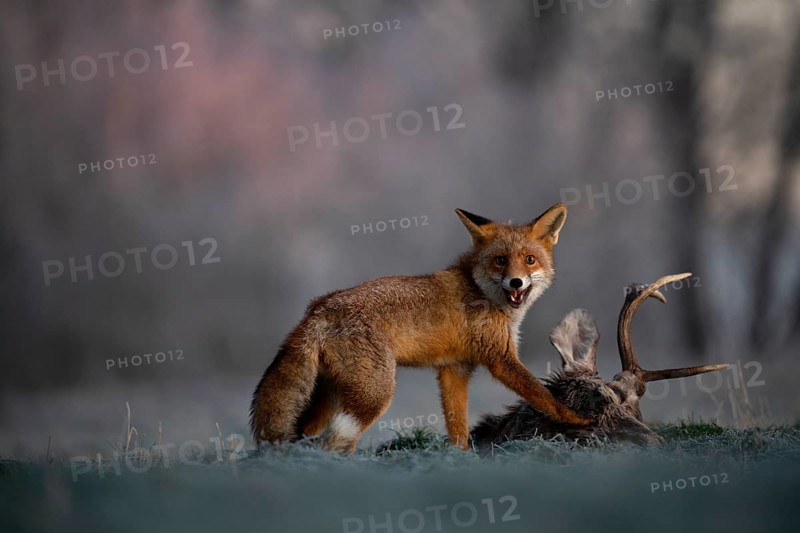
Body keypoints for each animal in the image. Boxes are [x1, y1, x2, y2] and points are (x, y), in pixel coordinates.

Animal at [250, 203, 593, 454]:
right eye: (500, 260)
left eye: (530, 259)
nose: (516, 282)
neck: (479, 290)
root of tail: (317, 308)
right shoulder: (500, 359)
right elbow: (543, 397)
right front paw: (577, 420)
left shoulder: (455, 370)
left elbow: (458, 428)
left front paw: (459, 460)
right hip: (374, 394)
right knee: (334, 440)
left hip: (335, 394)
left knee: (308, 434)